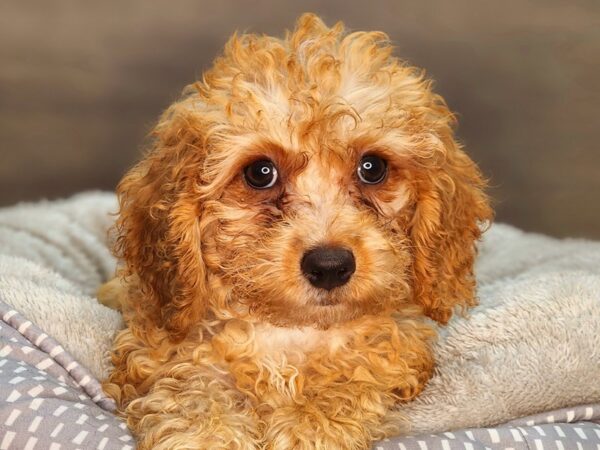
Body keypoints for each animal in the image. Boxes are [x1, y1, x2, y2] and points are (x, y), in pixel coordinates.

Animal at [99, 13, 492, 450]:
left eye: (372, 167)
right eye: (260, 172)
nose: (330, 265)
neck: (292, 331)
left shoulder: (397, 351)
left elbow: (354, 377)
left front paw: (309, 427)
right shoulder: (155, 349)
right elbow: (192, 386)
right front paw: (207, 432)